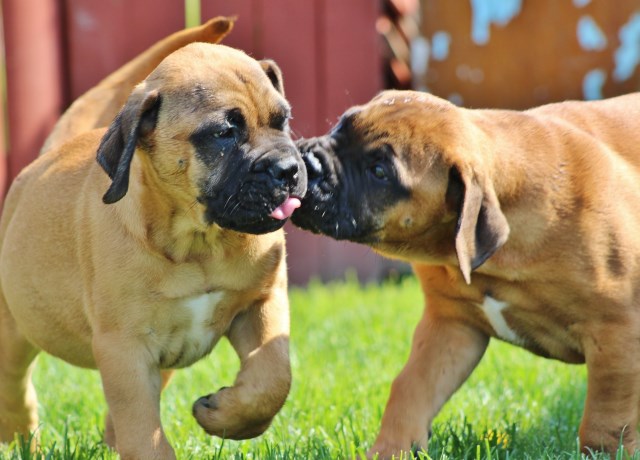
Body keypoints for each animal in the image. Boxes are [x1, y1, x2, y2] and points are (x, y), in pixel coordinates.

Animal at [0, 16, 306, 458]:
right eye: (224, 133)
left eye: (282, 121)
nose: (289, 169)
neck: (199, 241)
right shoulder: (124, 349)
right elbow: (145, 434)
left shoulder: (262, 303)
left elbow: (273, 377)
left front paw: (225, 415)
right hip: (13, 327)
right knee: (14, 385)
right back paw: (22, 438)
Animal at [292, 89, 640, 456]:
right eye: (342, 124)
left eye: (379, 171)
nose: (309, 163)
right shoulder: (451, 326)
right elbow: (410, 389)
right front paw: (390, 450)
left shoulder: (615, 333)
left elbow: (606, 415)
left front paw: (603, 455)